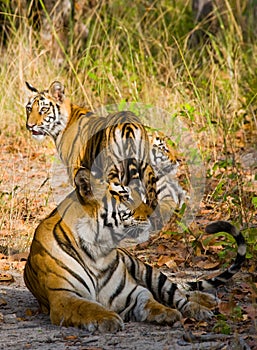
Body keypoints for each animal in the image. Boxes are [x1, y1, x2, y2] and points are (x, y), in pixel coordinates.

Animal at [23, 179, 244, 330]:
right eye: (124, 196)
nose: (154, 213)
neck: (97, 251)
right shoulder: (63, 296)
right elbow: (86, 307)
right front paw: (108, 319)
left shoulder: (132, 291)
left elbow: (150, 300)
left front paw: (167, 313)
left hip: (147, 270)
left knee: (177, 293)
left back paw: (203, 307)